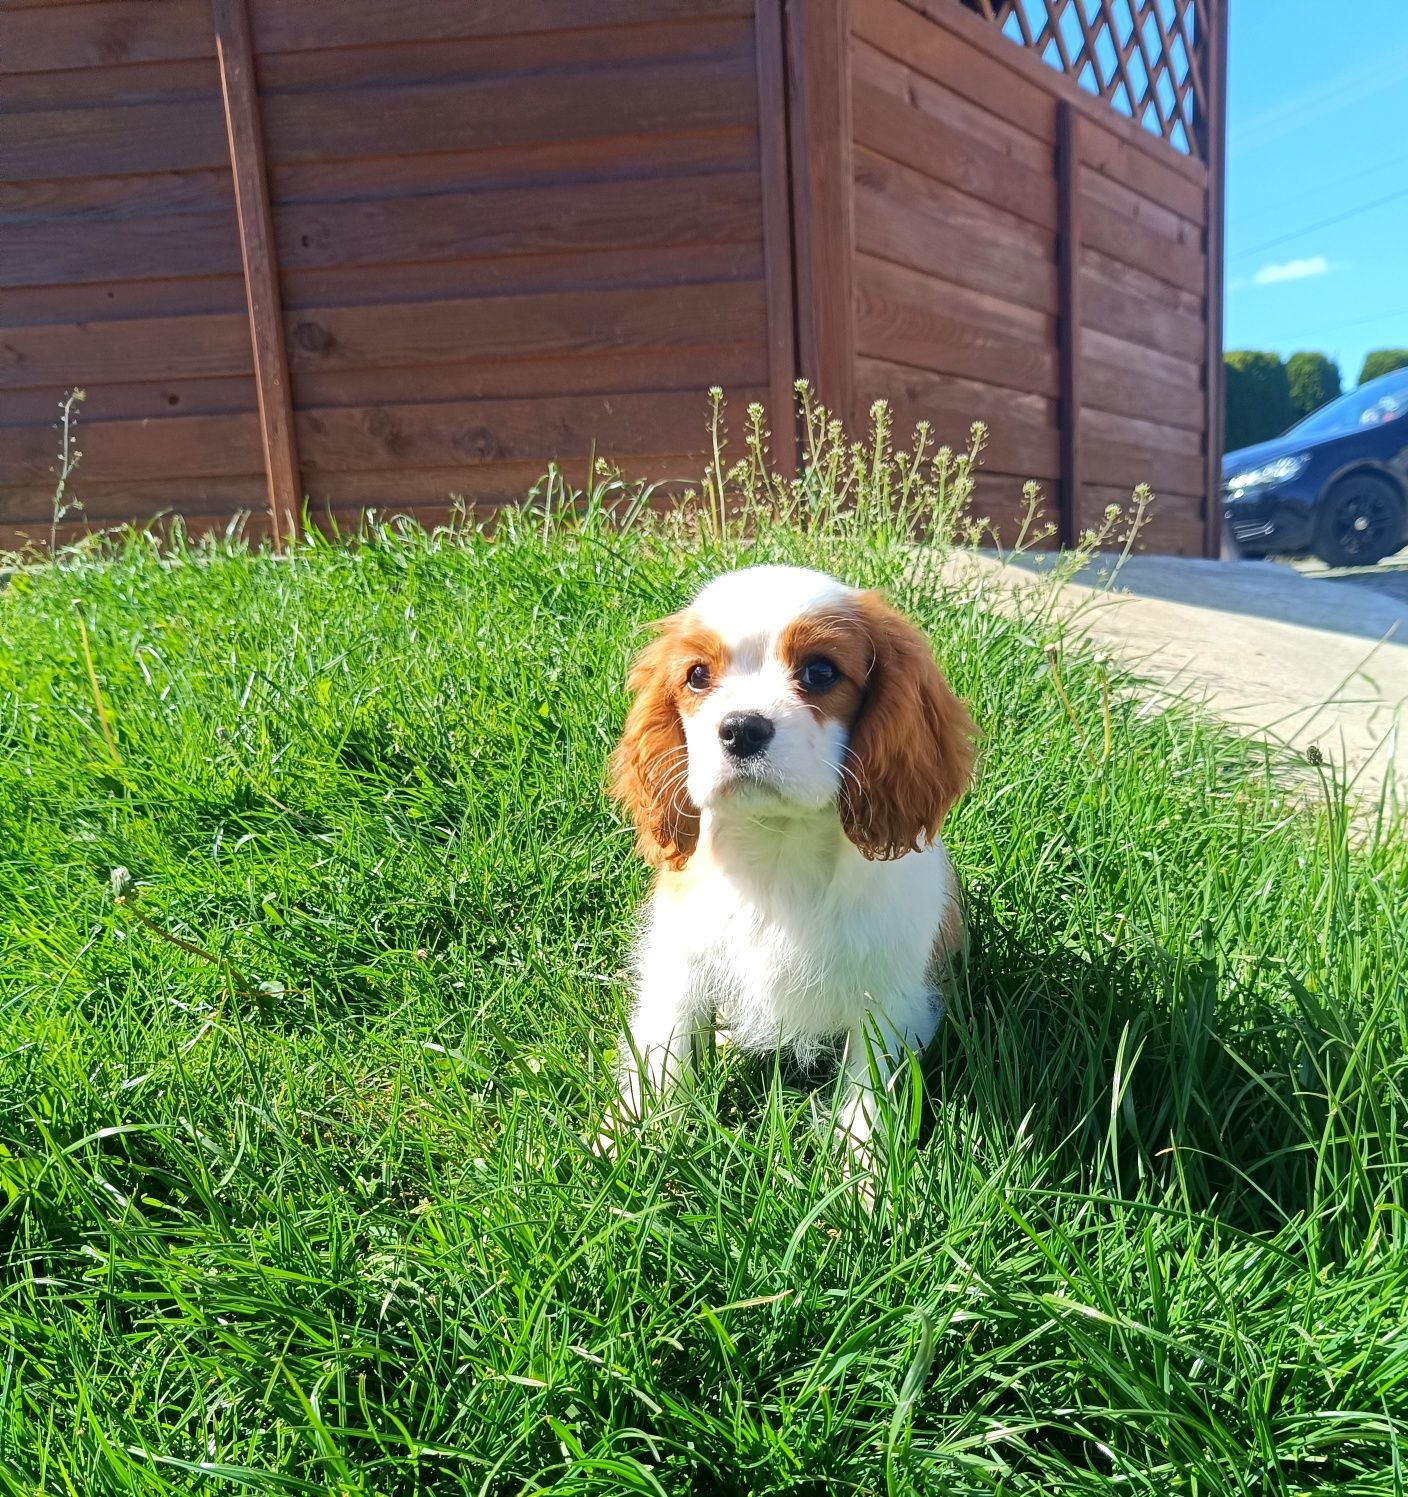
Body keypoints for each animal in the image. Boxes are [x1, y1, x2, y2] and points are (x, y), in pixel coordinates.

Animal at [598, 562, 969, 1167]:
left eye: (820, 672)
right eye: (697, 676)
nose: (741, 727)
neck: (777, 846)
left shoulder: (889, 995)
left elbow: (867, 1085)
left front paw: (864, 1171)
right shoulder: (680, 963)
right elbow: (664, 1049)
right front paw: (626, 1139)